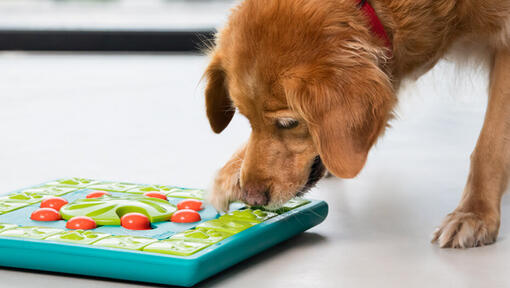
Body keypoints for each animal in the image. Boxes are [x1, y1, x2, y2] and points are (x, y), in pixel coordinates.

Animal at [202, 0, 510, 248]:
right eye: (246, 118)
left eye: (289, 123)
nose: (252, 198)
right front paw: (232, 172)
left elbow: (489, 147)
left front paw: (474, 213)